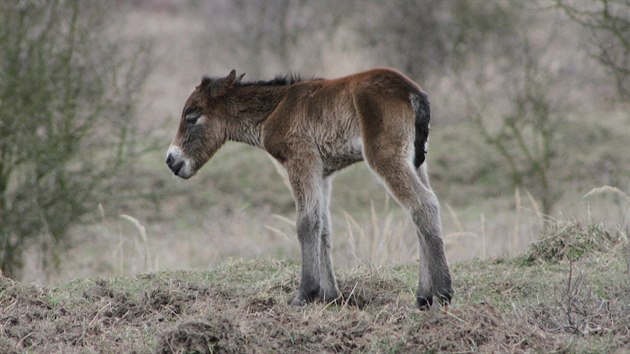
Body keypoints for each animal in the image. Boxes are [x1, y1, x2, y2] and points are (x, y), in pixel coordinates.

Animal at [168, 68, 454, 308]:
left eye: (192, 116)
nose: (171, 160)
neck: (275, 109)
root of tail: (413, 93)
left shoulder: (301, 159)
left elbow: (306, 223)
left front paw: (305, 293)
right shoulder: (322, 173)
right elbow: (323, 227)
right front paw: (331, 296)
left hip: (386, 156)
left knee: (423, 205)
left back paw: (443, 292)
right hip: (415, 161)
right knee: (421, 212)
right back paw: (423, 296)